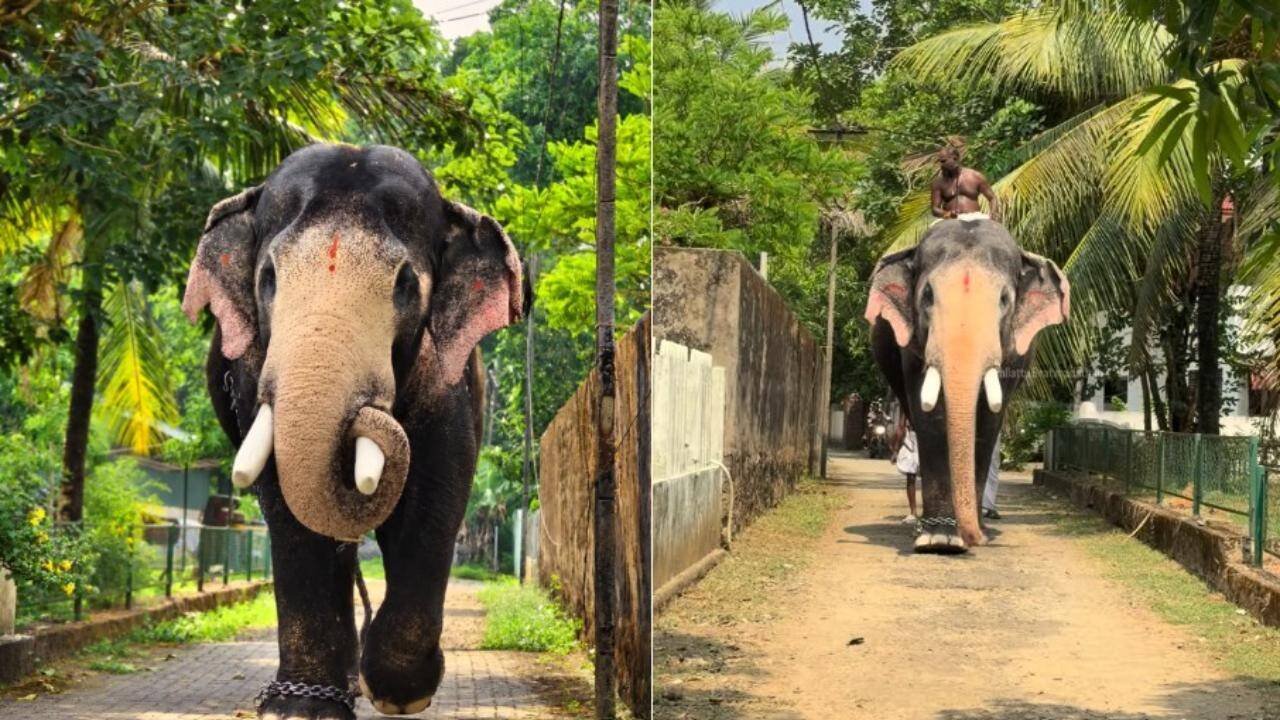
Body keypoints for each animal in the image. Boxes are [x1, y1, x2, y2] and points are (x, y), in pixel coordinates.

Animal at [182, 143, 525, 719]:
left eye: (405, 283)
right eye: (268, 277)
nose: (371, 412)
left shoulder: (446, 381)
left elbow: (434, 495)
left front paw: (399, 690)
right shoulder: (253, 372)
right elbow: (289, 509)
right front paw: (299, 708)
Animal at [864, 216, 1069, 553]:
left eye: (1004, 299)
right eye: (928, 296)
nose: (974, 537)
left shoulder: (1012, 355)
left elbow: (988, 419)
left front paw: (971, 533)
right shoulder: (913, 347)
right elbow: (930, 416)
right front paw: (940, 539)